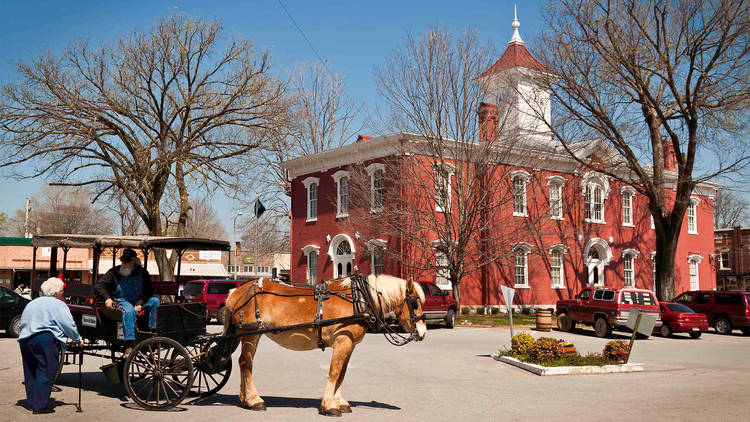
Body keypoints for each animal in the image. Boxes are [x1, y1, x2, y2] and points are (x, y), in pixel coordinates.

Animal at [220, 274, 426, 416]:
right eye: (415, 304)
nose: (423, 332)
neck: (359, 300)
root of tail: (236, 293)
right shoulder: (342, 341)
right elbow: (334, 372)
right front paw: (329, 405)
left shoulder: (349, 345)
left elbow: (342, 374)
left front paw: (340, 402)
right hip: (250, 335)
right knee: (246, 363)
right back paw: (254, 400)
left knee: (242, 362)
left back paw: (244, 399)